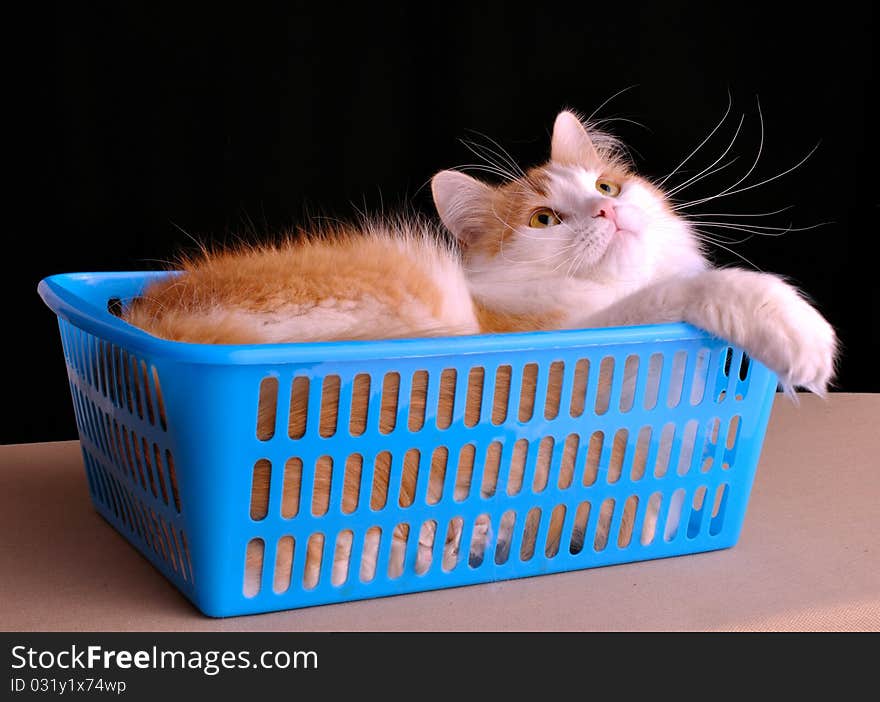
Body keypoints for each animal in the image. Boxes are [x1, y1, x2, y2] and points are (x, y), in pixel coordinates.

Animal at [124, 108, 840, 592]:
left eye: (606, 188)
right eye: (544, 219)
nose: (607, 215)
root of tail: (154, 346)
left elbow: (651, 500)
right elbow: (689, 289)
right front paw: (796, 328)